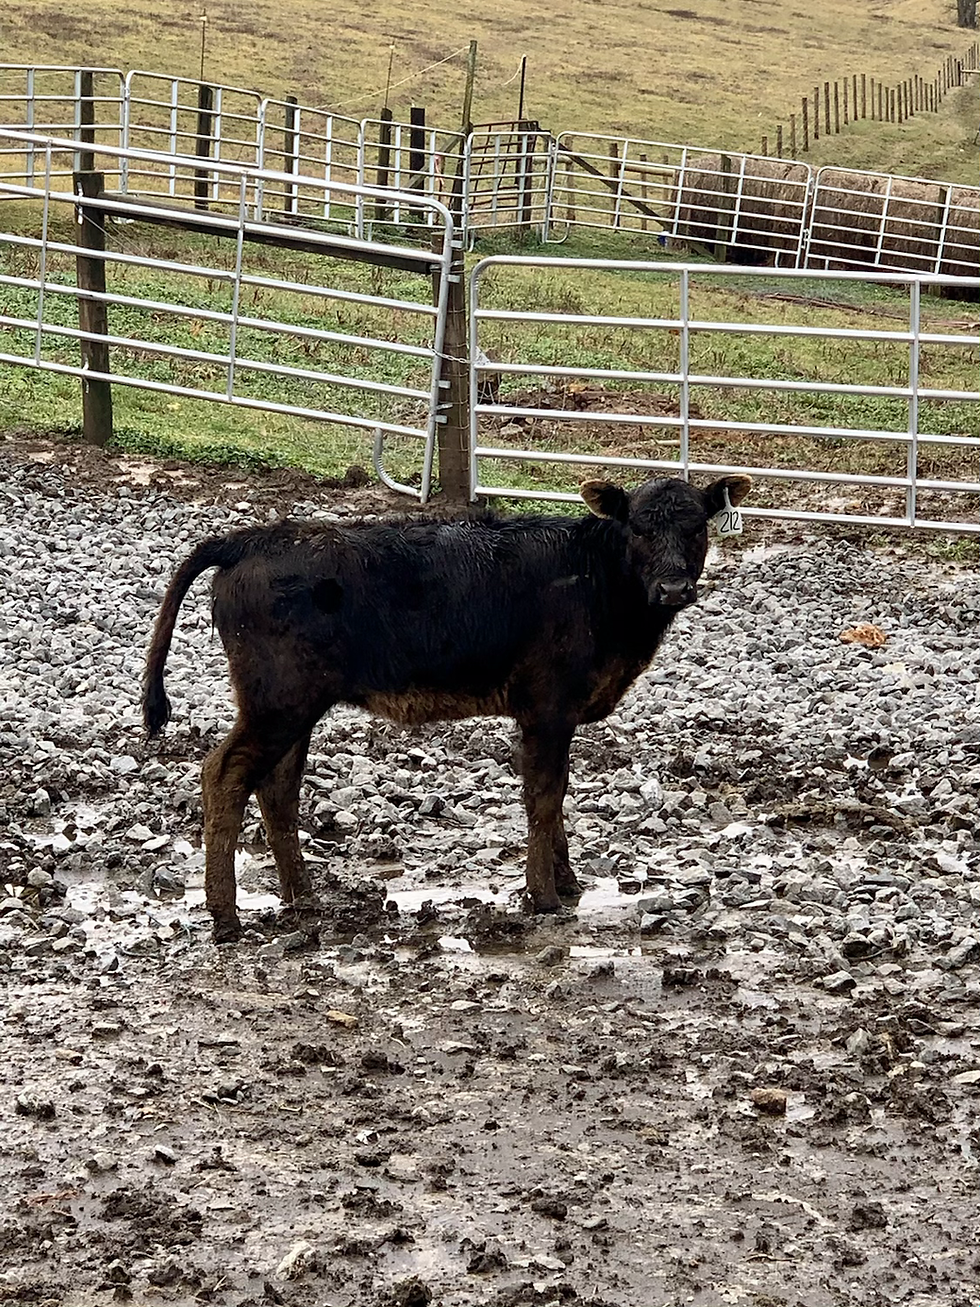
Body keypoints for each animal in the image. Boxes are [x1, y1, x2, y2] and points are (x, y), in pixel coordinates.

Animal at [142, 474, 751, 942]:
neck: (594, 577)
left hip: (294, 706)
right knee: (225, 774)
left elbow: (554, 798)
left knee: (277, 787)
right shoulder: (547, 708)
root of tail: (254, 538)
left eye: (697, 527)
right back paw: (226, 916)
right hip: (276, 702)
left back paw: (302, 896)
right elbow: (544, 796)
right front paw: (544, 895)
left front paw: (567, 881)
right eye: (640, 528)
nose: (673, 588)